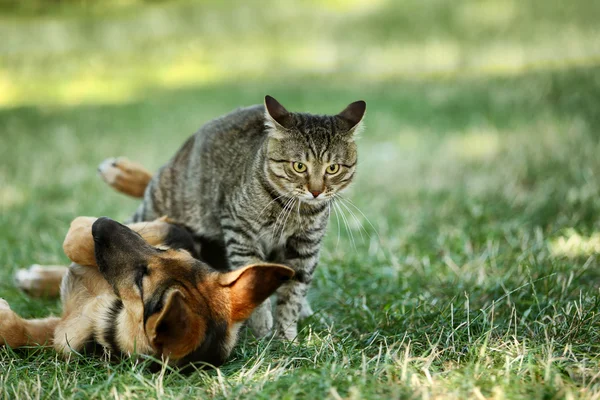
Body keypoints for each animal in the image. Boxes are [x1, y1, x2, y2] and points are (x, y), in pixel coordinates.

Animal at [0, 216, 296, 368]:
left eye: (141, 282)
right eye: (168, 251)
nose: (102, 222)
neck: (113, 314)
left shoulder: (65, 333)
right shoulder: (172, 232)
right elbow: (79, 242)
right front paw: (82, 229)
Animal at [98, 95, 366, 340]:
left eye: (333, 168)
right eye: (299, 166)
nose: (316, 191)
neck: (294, 211)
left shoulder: (306, 247)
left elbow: (293, 294)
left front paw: (287, 336)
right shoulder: (240, 231)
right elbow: (254, 277)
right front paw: (263, 325)